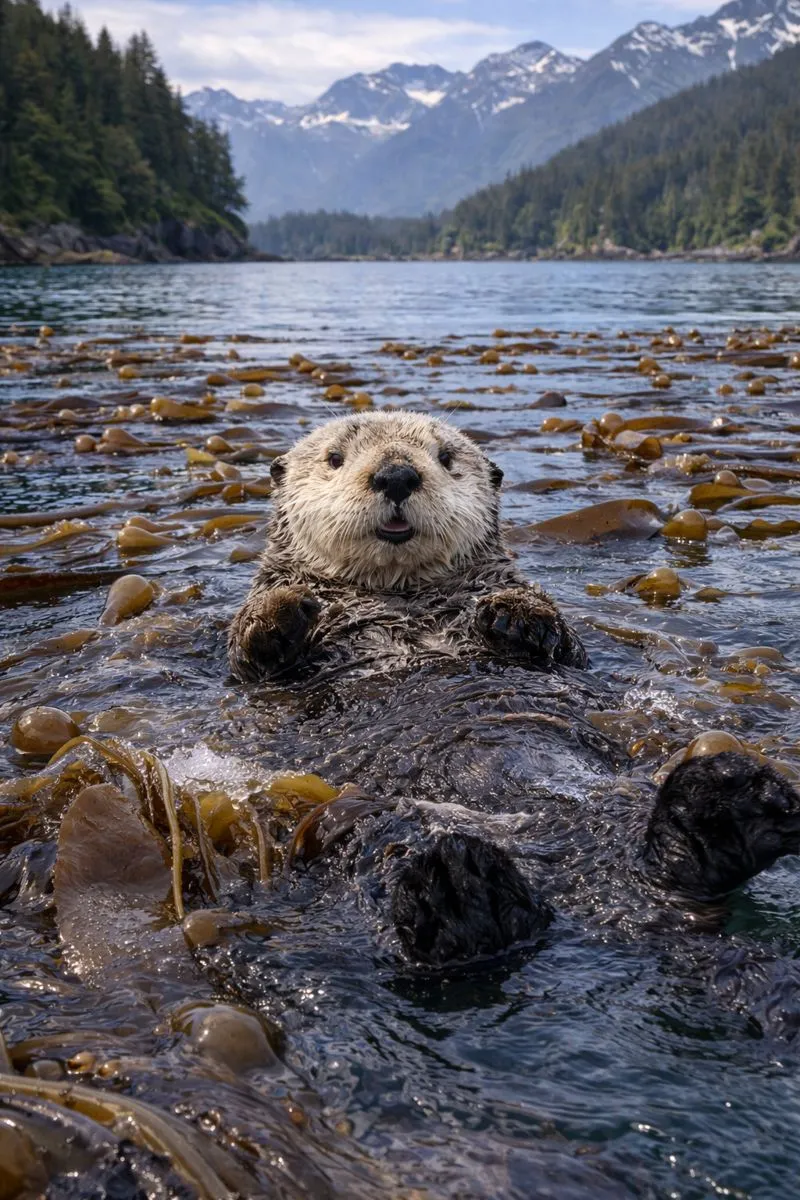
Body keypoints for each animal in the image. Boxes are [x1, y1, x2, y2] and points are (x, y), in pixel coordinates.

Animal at [226, 413, 800, 1029]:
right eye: (334, 458)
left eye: (446, 458)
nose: (397, 475)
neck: (402, 599)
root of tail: (621, 897)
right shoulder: (254, 665)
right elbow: (250, 648)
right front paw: (287, 607)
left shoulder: (555, 637)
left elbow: (558, 635)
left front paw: (513, 615)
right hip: (361, 840)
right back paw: (458, 892)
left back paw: (724, 804)